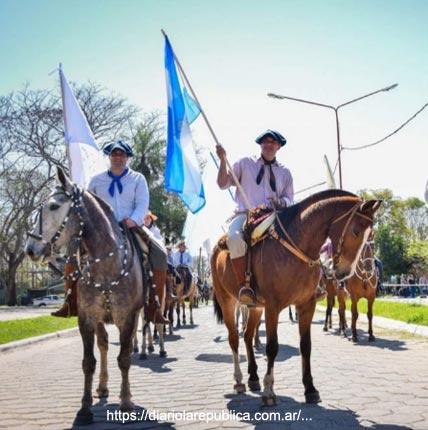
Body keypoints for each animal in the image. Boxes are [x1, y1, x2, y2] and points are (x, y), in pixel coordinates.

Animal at [26, 167, 147, 424]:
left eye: (54, 206)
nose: (30, 249)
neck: (107, 264)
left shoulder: (127, 317)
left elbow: (124, 358)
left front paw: (125, 402)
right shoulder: (87, 318)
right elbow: (88, 362)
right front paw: (85, 408)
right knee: (103, 345)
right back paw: (102, 386)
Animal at [211, 190, 382, 404]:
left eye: (371, 236)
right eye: (356, 231)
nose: (344, 273)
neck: (297, 246)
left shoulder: (306, 305)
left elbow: (305, 345)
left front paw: (310, 388)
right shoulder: (273, 307)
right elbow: (272, 347)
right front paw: (269, 390)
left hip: (256, 308)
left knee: (248, 336)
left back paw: (253, 377)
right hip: (227, 301)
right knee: (234, 338)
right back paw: (239, 380)